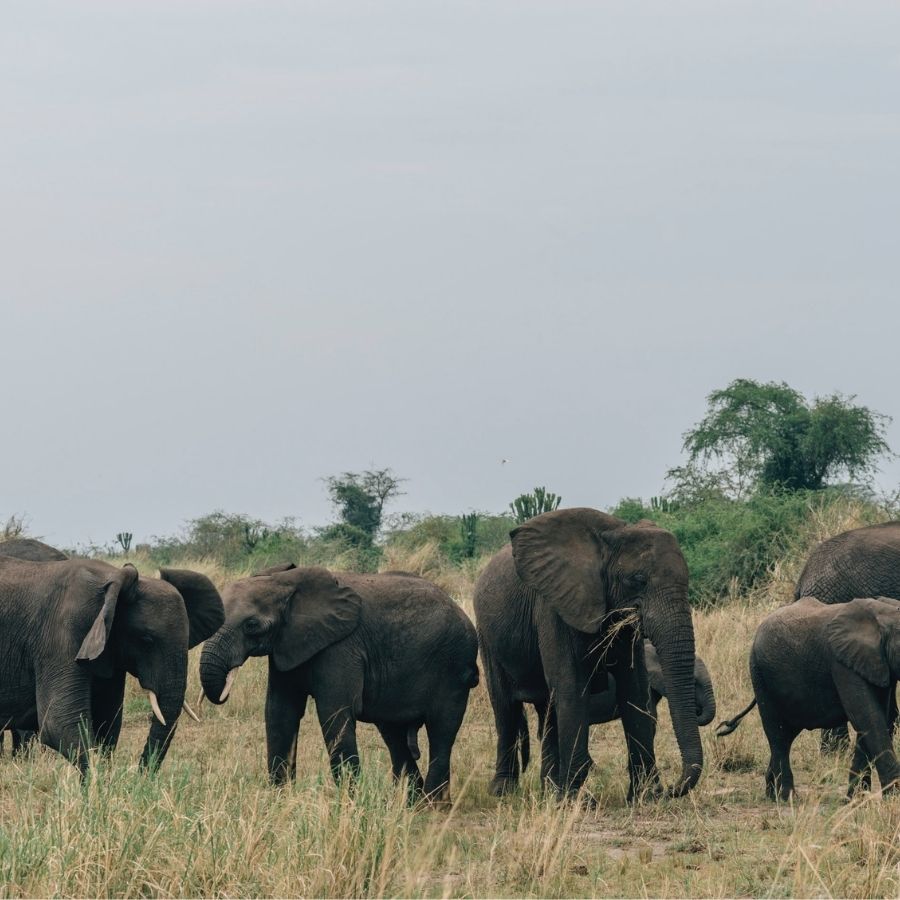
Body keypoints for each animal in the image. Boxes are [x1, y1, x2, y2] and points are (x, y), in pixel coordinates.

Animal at [0, 556, 224, 772]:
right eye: (146, 640)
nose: (141, 777)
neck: (111, 580)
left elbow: (108, 722)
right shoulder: (61, 637)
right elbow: (60, 725)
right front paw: (95, 783)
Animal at [197, 564, 478, 800]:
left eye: (252, 625)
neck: (284, 581)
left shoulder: (341, 646)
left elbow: (334, 712)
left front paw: (349, 803)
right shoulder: (286, 645)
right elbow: (280, 711)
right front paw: (280, 798)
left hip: (453, 666)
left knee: (442, 730)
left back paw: (432, 805)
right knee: (394, 734)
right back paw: (409, 804)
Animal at [472, 506, 704, 800]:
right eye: (638, 581)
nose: (672, 789)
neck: (612, 535)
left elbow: (635, 687)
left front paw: (644, 797)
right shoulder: (553, 604)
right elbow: (571, 685)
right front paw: (577, 801)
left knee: (548, 710)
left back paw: (549, 790)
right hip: (487, 635)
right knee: (505, 706)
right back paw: (504, 791)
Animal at [720, 596, 900, 800]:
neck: (882, 614)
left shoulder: (875, 663)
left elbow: (874, 718)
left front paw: (855, 799)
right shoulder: (842, 663)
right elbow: (867, 717)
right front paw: (892, 797)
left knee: (786, 734)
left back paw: (771, 794)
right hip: (759, 674)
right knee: (777, 733)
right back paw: (787, 798)